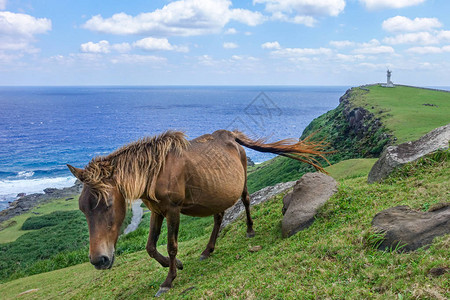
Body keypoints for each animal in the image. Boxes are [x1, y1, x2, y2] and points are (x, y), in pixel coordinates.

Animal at [66, 130, 326, 296]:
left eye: (108, 203)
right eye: (82, 208)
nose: (99, 260)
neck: (155, 171)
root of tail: (230, 135)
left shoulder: (172, 210)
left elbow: (171, 245)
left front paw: (168, 280)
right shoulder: (156, 211)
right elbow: (150, 247)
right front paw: (177, 265)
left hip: (241, 181)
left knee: (246, 200)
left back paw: (250, 230)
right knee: (219, 217)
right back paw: (207, 250)